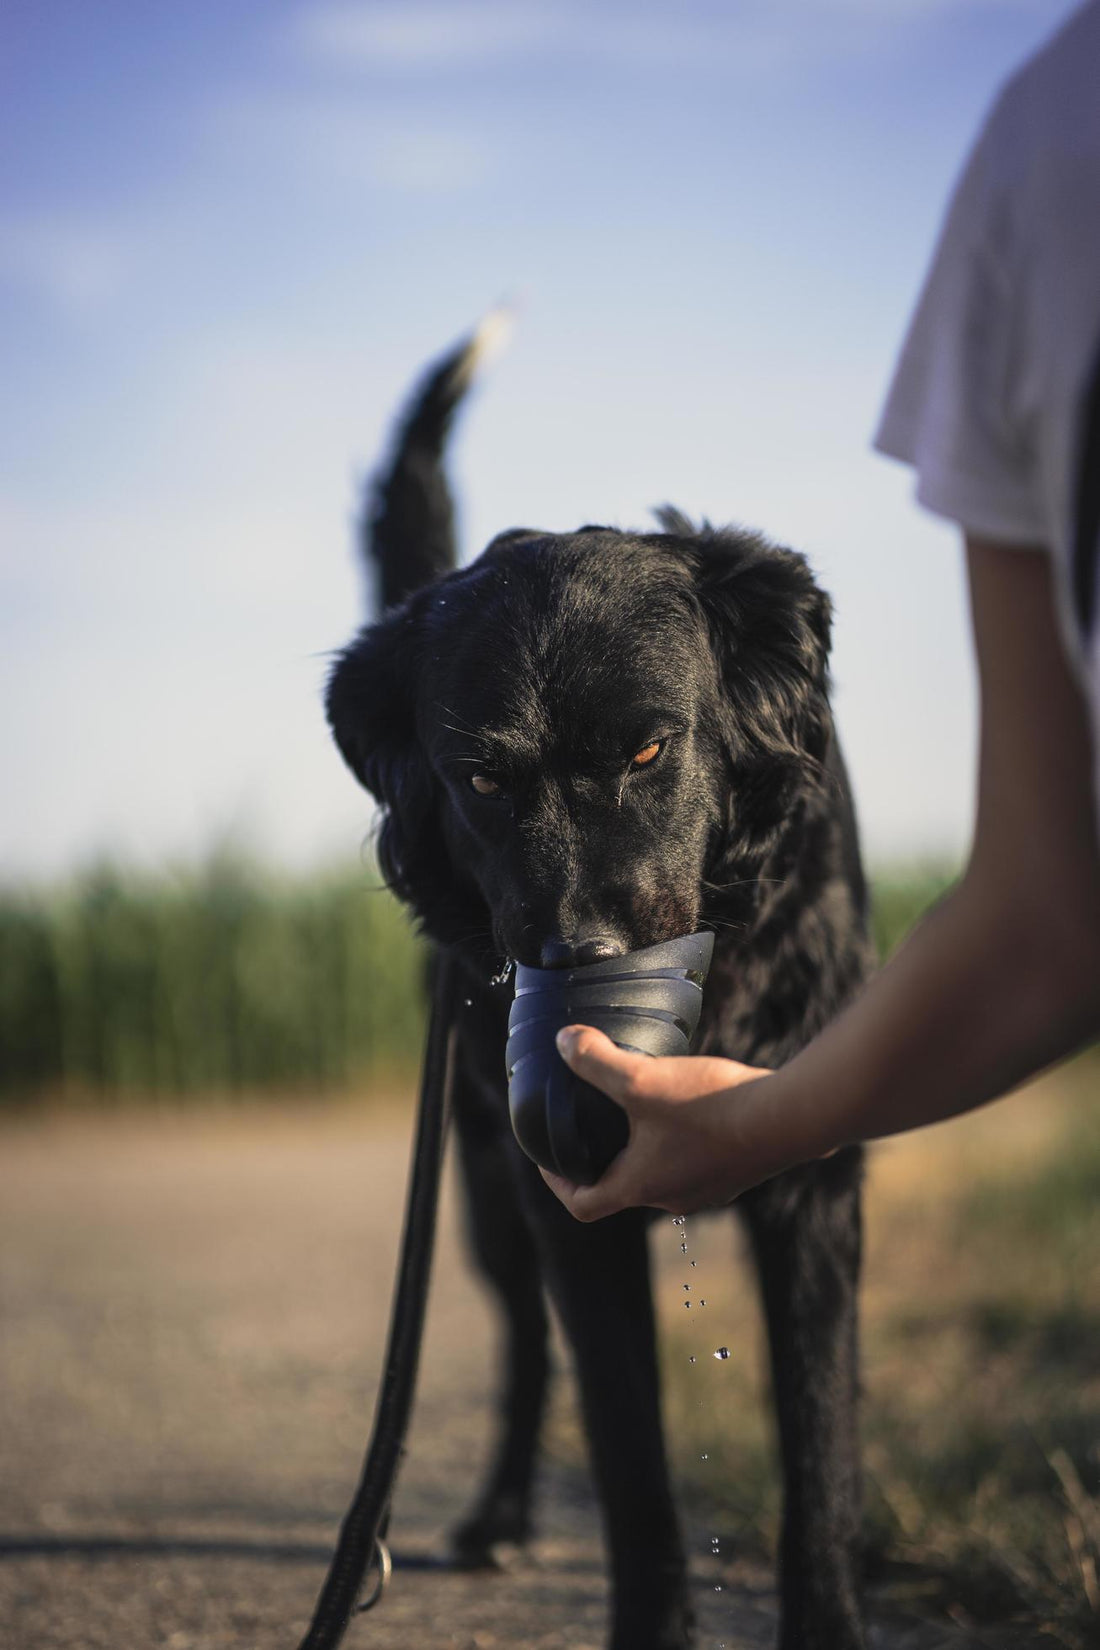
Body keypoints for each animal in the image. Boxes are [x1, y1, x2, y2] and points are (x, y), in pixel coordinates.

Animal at [323, 321, 870, 1650]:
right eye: (479, 779)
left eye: (648, 748)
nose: (577, 962)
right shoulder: (563, 1198)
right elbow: (631, 1469)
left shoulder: (815, 1183)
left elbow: (817, 1449)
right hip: (480, 1187)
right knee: (525, 1350)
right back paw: (499, 1515)